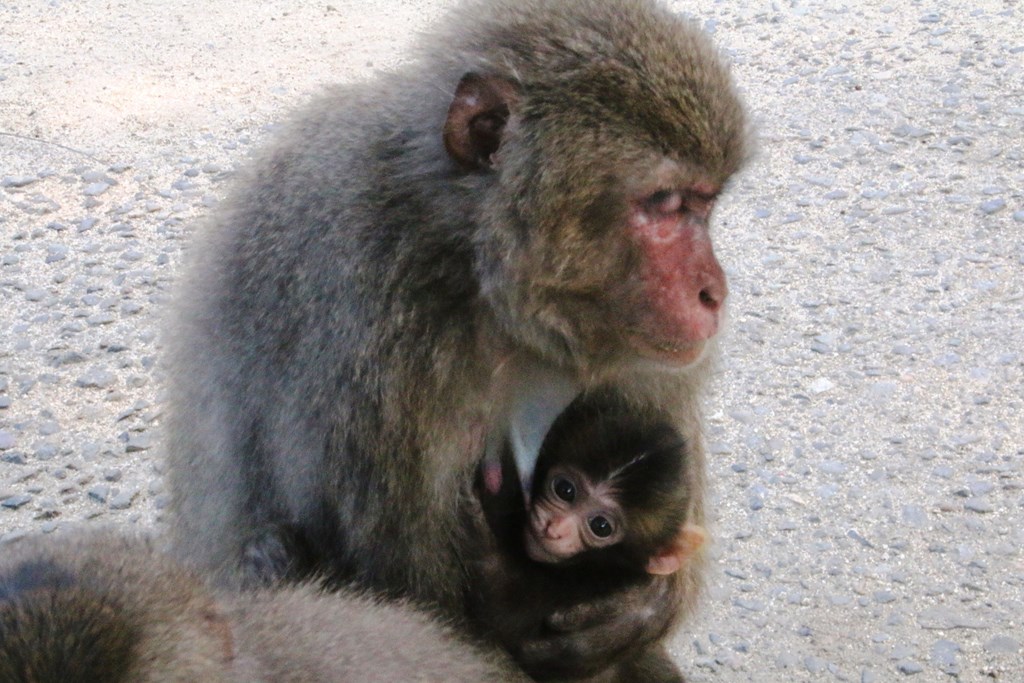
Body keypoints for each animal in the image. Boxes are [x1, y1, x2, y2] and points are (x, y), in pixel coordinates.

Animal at [165, 0, 745, 675]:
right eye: (663, 203)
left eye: (704, 205)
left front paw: (642, 608)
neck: (472, 268)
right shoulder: (370, 327)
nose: (713, 292)